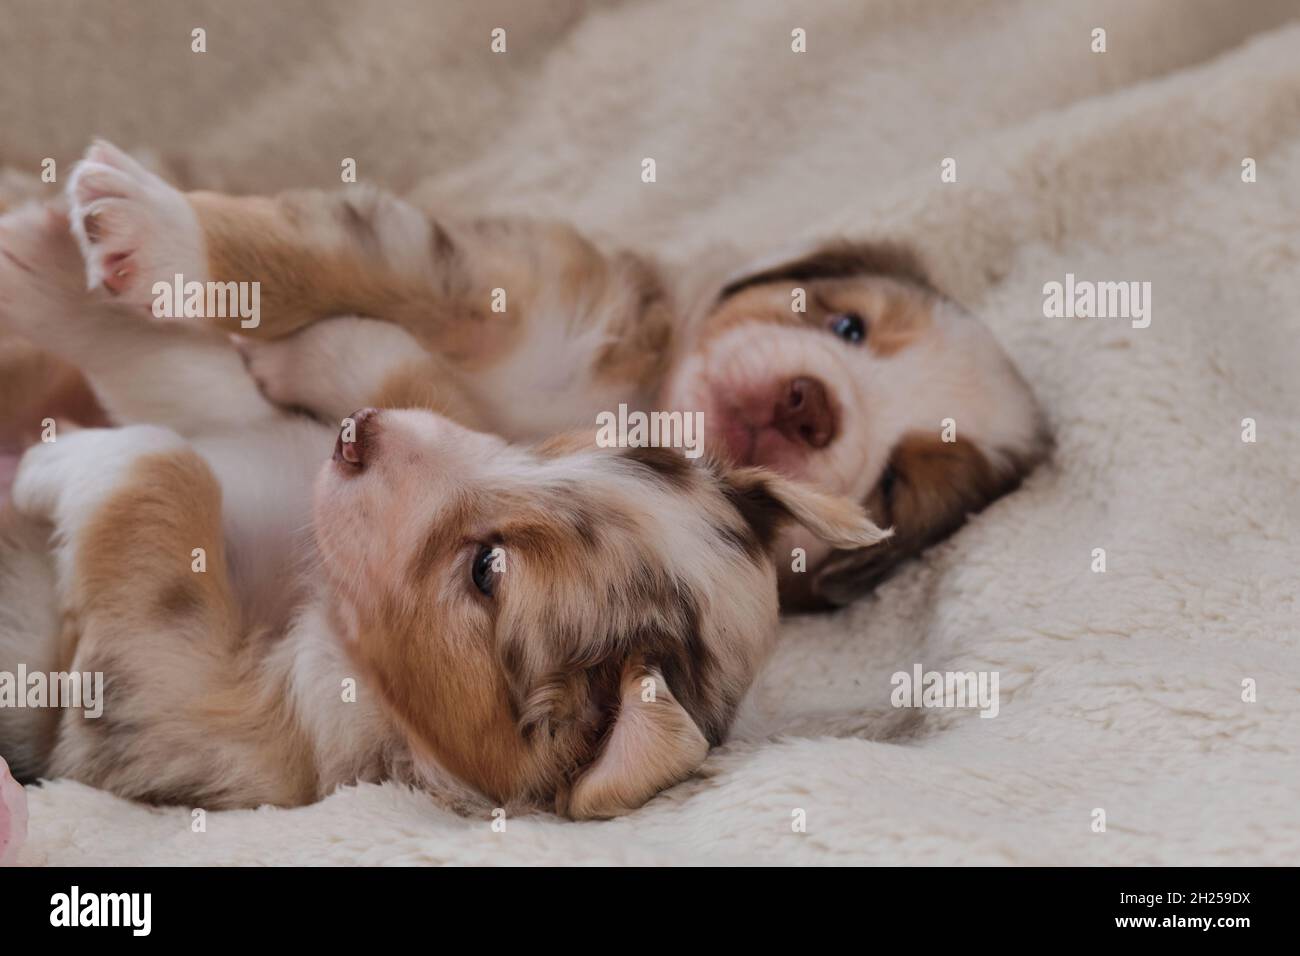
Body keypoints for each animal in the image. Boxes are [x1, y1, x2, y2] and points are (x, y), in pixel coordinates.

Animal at [0, 201, 889, 816]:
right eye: (559, 451)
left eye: (487, 569)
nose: (356, 434)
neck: (318, 591)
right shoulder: (274, 440)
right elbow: (197, 376)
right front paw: (50, 265)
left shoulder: (190, 720)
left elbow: (168, 463)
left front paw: (53, 460)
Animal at [50, 138, 1050, 608]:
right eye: (848, 325)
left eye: (894, 487)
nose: (810, 408)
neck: (626, 403)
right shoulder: (502, 277)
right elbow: (348, 257)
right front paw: (160, 232)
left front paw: (314, 354)